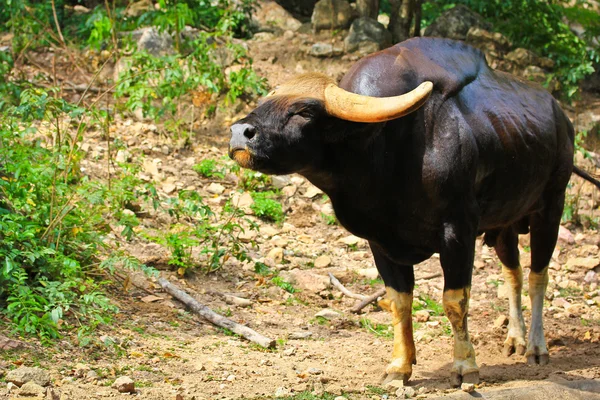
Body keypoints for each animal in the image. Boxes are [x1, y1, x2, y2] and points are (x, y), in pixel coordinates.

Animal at [226, 38, 600, 388]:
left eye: (303, 111)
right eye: (264, 103)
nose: (239, 133)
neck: (385, 150)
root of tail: (563, 120)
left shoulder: (458, 230)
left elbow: (455, 300)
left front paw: (465, 366)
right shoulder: (380, 243)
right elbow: (399, 302)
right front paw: (399, 365)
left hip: (551, 206)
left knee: (539, 275)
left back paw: (537, 347)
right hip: (505, 223)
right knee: (515, 274)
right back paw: (516, 339)